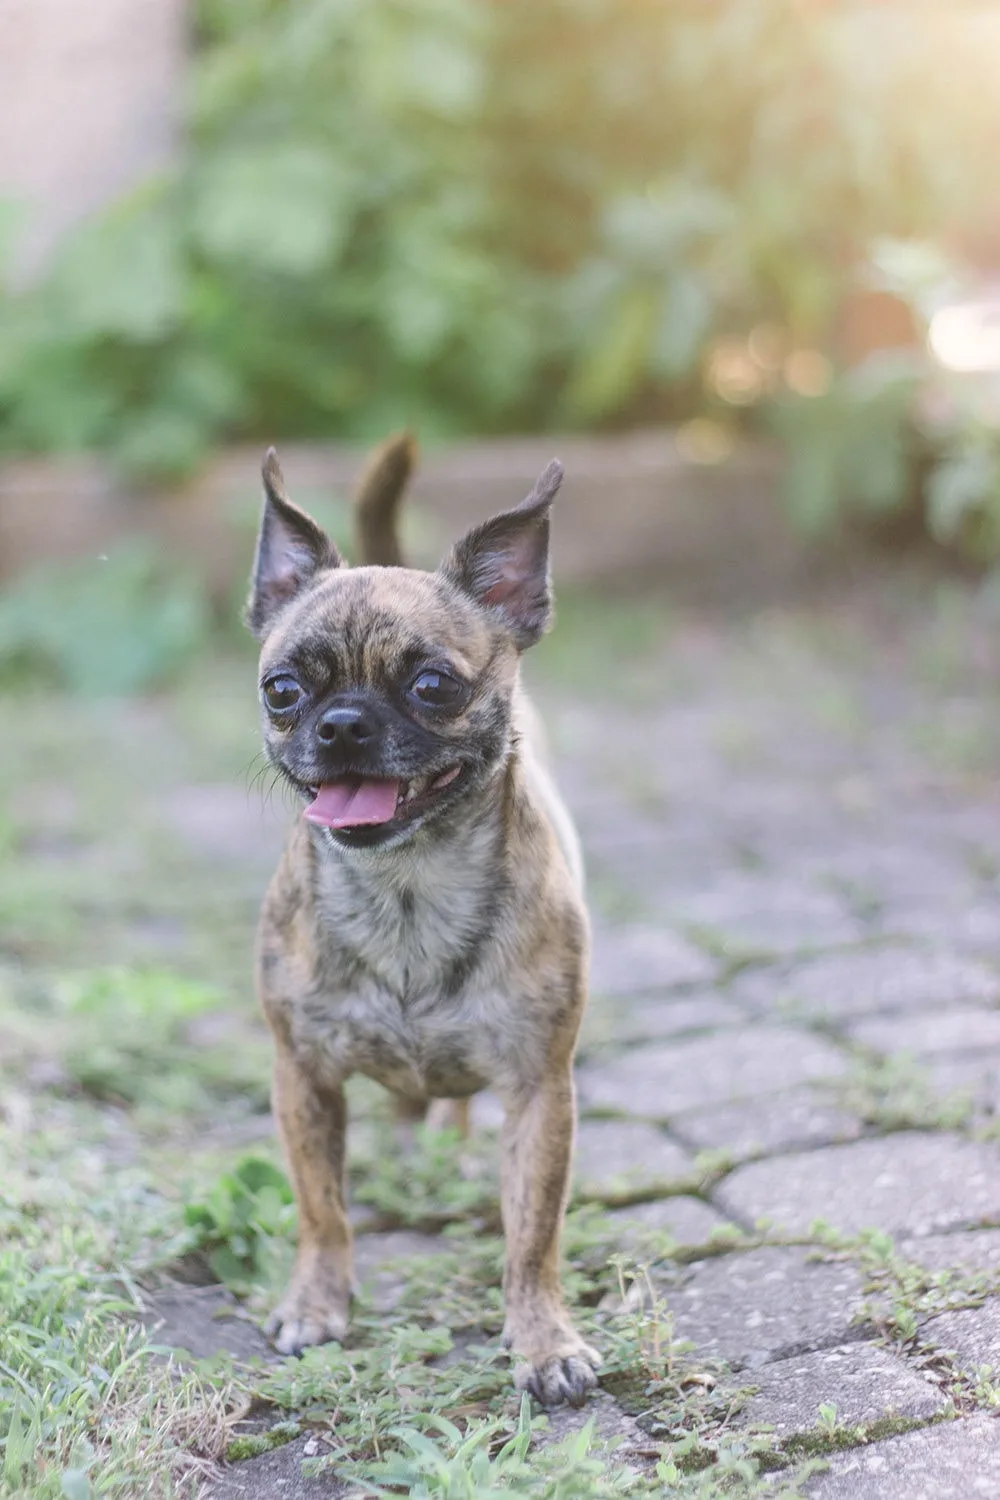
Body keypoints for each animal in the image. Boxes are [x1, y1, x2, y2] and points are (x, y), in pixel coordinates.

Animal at [245, 435, 599, 1404]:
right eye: (282, 690)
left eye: (435, 685)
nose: (343, 724)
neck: (405, 886)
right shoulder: (303, 1080)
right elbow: (323, 1210)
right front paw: (317, 1305)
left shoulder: (540, 1092)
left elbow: (532, 1235)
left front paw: (542, 1340)